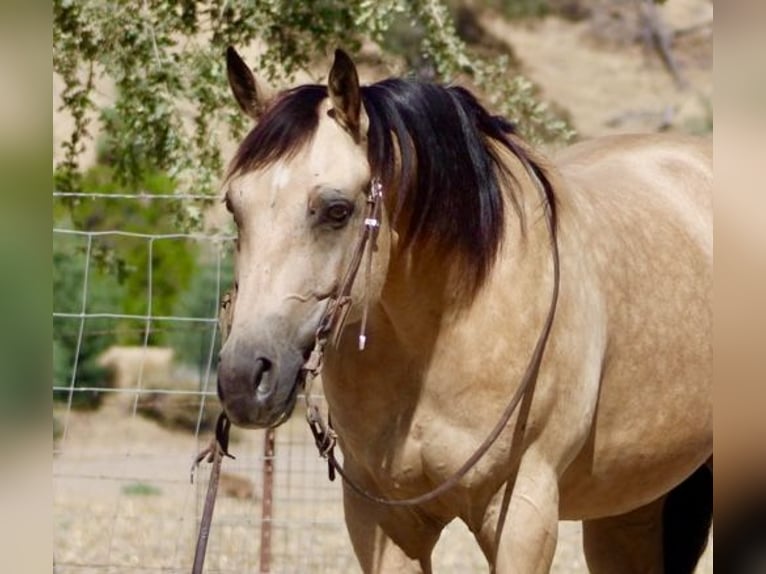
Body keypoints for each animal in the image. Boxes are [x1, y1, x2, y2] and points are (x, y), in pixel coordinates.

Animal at [215, 47, 713, 573]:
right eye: (233, 206)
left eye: (336, 210)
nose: (244, 378)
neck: (448, 328)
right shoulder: (383, 519)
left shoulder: (524, 513)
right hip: (632, 506)